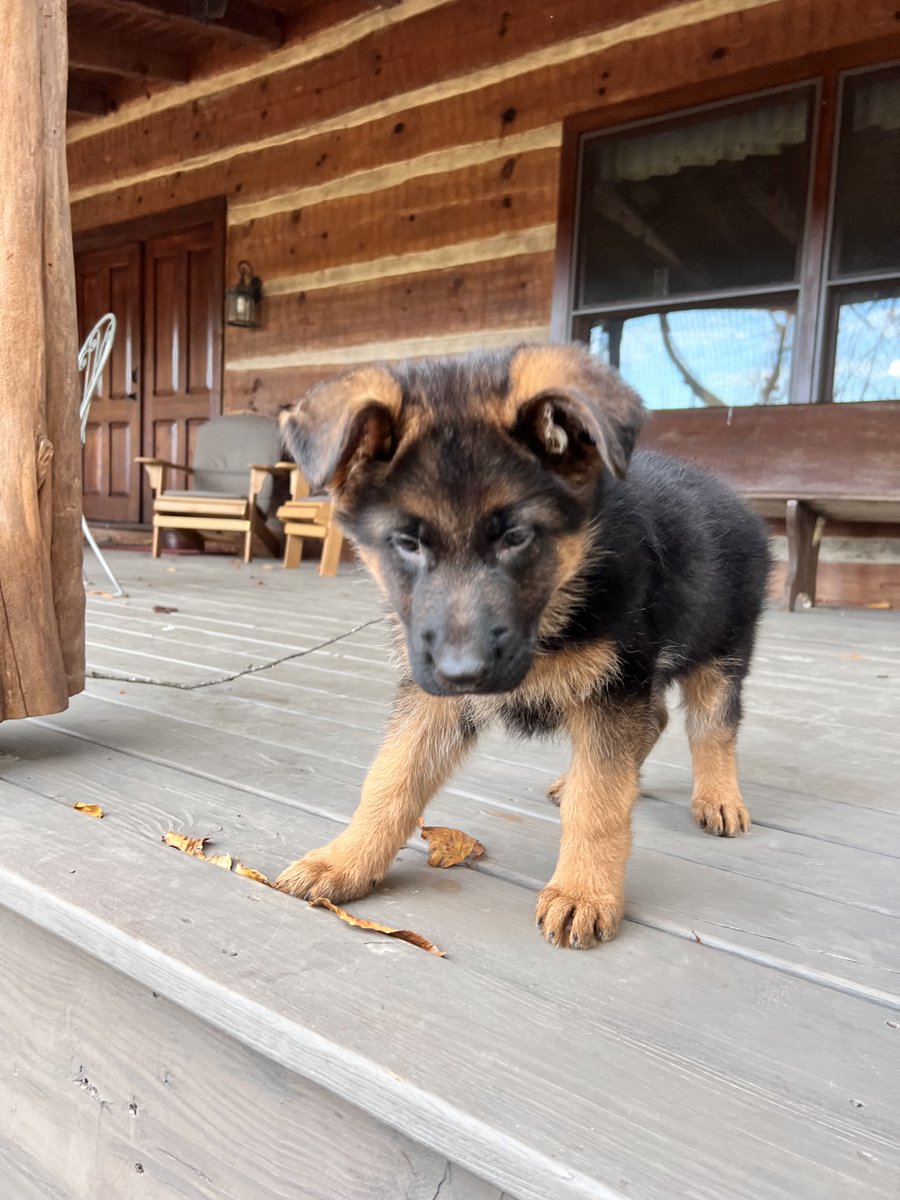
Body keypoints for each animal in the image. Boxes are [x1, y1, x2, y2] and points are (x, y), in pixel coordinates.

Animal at [278, 345, 772, 945]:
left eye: (516, 538)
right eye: (407, 543)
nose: (463, 673)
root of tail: (737, 501)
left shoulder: (613, 686)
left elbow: (599, 803)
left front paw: (584, 892)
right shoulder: (434, 696)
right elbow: (391, 780)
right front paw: (346, 861)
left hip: (719, 651)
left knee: (712, 727)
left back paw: (719, 797)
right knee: (654, 719)